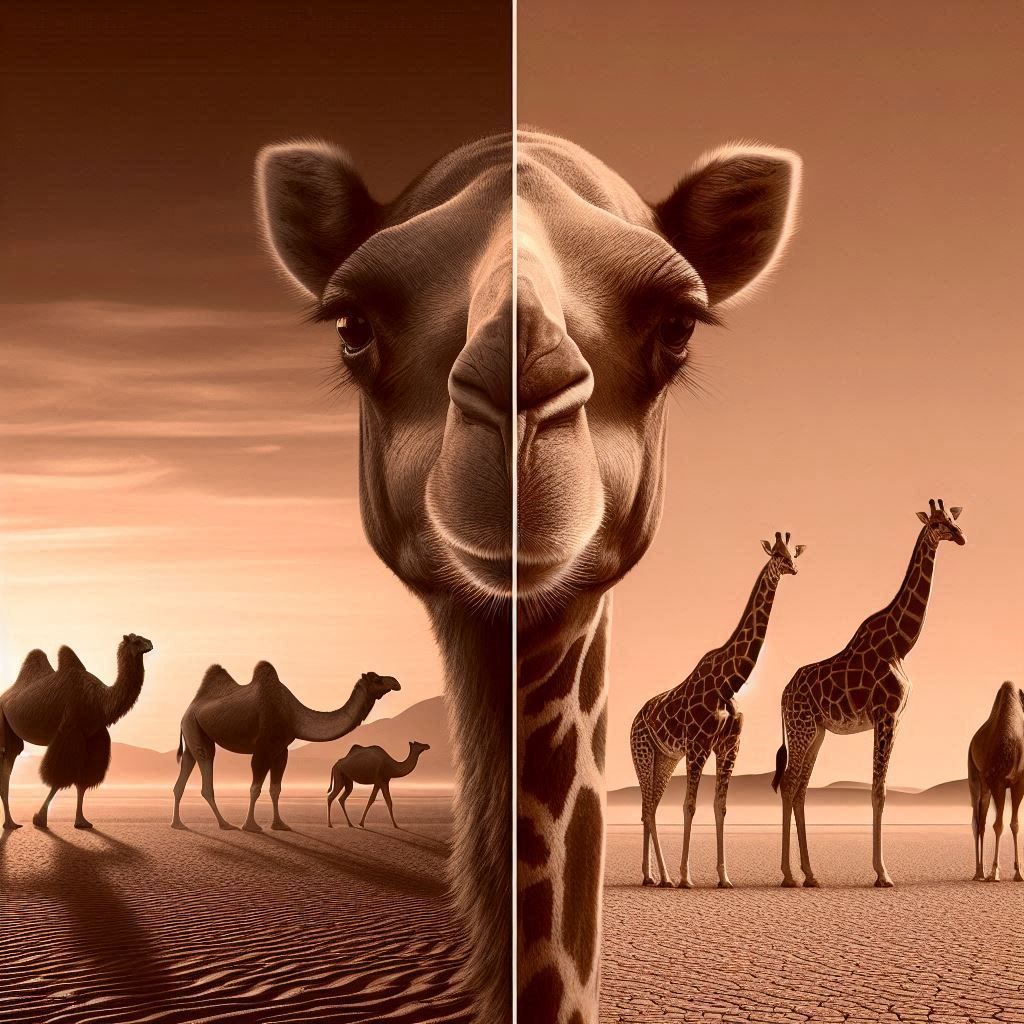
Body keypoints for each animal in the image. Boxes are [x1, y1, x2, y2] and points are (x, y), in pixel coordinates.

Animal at [0, 633, 154, 830]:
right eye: (136, 640)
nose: (150, 644)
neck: (99, 701)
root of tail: (4, 696)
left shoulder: (94, 736)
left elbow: (83, 781)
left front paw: (81, 821)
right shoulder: (70, 731)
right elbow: (58, 778)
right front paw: (39, 818)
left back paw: (11, 823)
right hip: (3, 725)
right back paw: (10, 823)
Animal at [172, 664, 400, 833]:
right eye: (377, 679)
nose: (396, 682)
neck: (291, 713)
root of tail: (188, 709)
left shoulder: (281, 750)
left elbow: (276, 789)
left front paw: (279, 824)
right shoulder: (263, 748)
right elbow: (255, 788)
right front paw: (251, 826)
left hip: (192, 734)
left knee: (185, 770)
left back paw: (178, 823)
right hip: (194, 726)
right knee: (205, 765)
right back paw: (225, 823)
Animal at [631, 532, 805, 890]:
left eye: (793, 554)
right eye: (777, 555)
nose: (793, 569)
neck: (730, 683)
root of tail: (634, 719)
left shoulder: (729, 746)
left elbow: (720, 807)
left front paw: (724, 877)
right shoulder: (698, 746)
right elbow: (689, 806)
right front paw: (686, 877)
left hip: (665, 758)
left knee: (648, 807)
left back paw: (653, 875)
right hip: (642, 752)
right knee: (648, 807)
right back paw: (664, 877)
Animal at [771, 498, 965, 888]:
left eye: (953, 519)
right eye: (938, 523)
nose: (960, 536)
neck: (901, 645)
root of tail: (783, 694)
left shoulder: (894, 719)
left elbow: (880, 790)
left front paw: (880, 871)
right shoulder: (885, 715)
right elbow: (879, 791)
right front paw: (882, 874)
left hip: (815, 732)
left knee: (800, 788)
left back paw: (810, 874)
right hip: (801, 729)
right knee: (789, 783)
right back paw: (788, 875)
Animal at [969, 680, 1024, 882]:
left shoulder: (1019, 783)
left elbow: (1015, 825)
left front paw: (1018, 872)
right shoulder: (997, 781)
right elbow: (998, 825)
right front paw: (995, 872)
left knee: (982, 821)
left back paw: (981, 872)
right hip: (975, 777)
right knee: (978, 822)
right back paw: (979, 872)